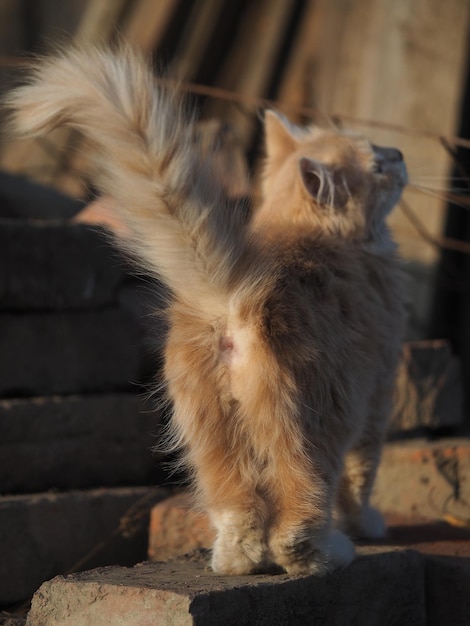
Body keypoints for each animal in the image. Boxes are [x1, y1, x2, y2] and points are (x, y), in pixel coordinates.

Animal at [8, 47, 408, 576]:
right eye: (377, 165)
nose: (400, 155)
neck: (296, 223)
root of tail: (231, 294)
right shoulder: (378, 386)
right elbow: (363, 474)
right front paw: (367, 525)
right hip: (312, 419)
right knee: (299, 509)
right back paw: (326, 555)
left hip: (210, 429)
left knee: (238, 508)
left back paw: (236, 560)